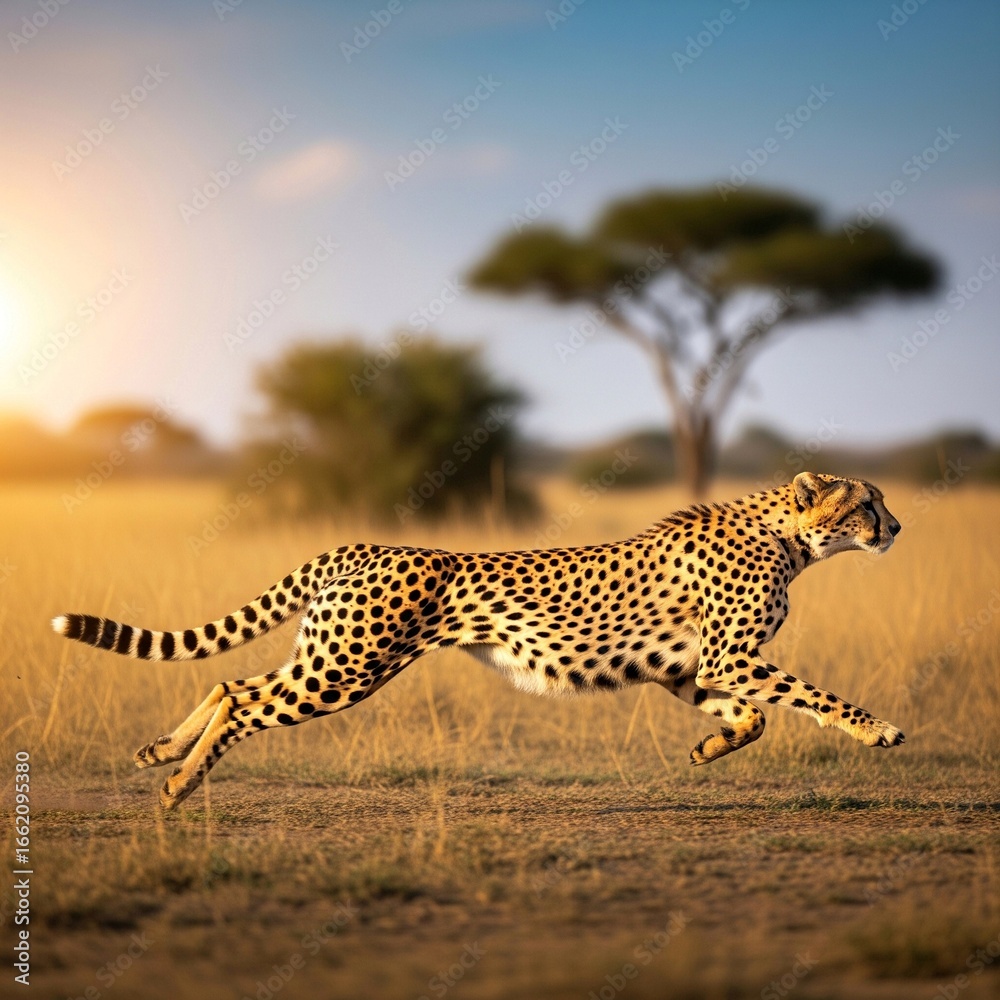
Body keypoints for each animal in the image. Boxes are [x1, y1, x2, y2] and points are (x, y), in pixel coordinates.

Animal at [52, 471, 905, 810]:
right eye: (866, 503)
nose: (897, 527)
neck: (790, 536)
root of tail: (365, 543)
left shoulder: (690, 665)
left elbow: (752, 716)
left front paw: (706, 750)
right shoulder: (730, 656)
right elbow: (808, 694)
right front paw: (877, 730)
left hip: (328, 656)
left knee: (231, 683)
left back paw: (161, 753)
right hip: (345, 669)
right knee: (243, 701)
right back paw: (179, 783)